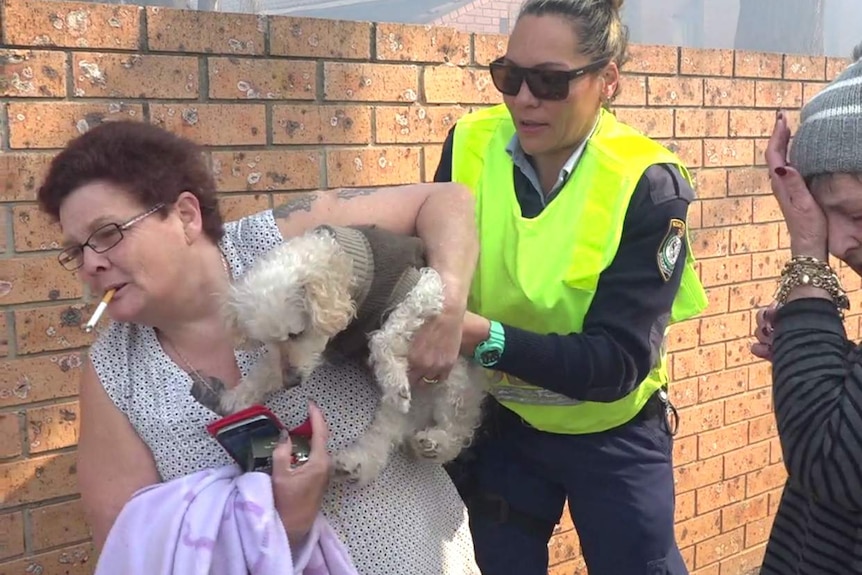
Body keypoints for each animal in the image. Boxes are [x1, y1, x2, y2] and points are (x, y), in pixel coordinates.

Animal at [218, 225, 486, 486]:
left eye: (297, 333)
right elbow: (266, 370)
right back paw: (355, 464)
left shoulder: (422, 289)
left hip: (455, 381)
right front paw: (237, 397)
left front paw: (393, 375)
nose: (291, 382)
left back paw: (437, 443)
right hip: (402, 411)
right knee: (384, 435)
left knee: (458, 428)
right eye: (269, 342)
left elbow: (383, 337)